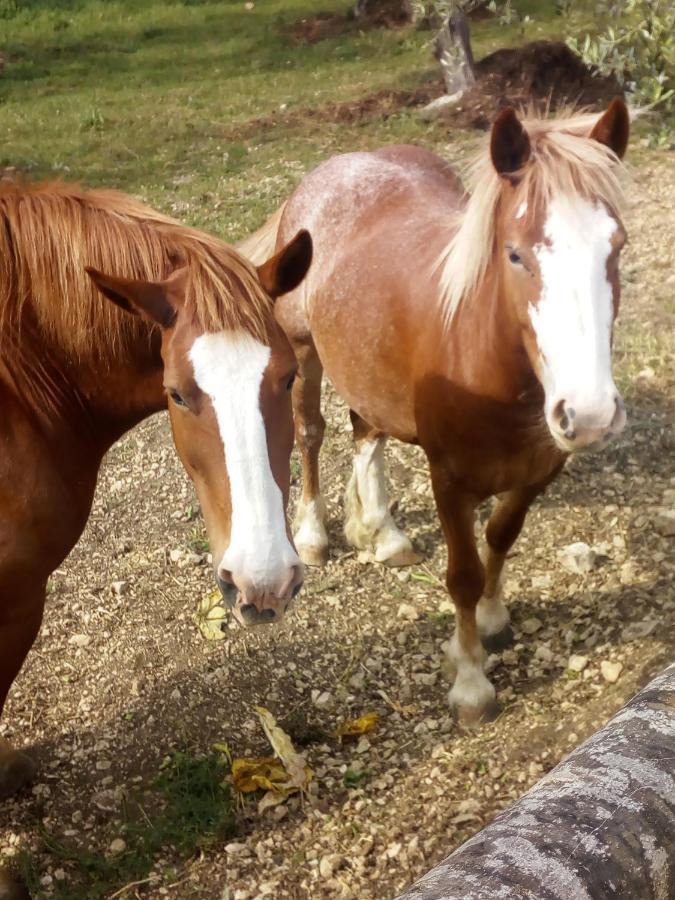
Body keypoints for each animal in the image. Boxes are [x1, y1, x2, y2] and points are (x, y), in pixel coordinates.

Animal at [243, 102, 632, 724]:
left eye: (615, 247)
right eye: (515, 254)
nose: (591, 414)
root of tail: (337, 166)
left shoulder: (537, 471)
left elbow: (501, 536)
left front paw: (494, 620)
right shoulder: (449, 480)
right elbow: (463, 576)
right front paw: (471, 682)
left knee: (366, 431)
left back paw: (382, 532)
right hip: (302, 353)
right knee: (311, 433)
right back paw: (314, 534)